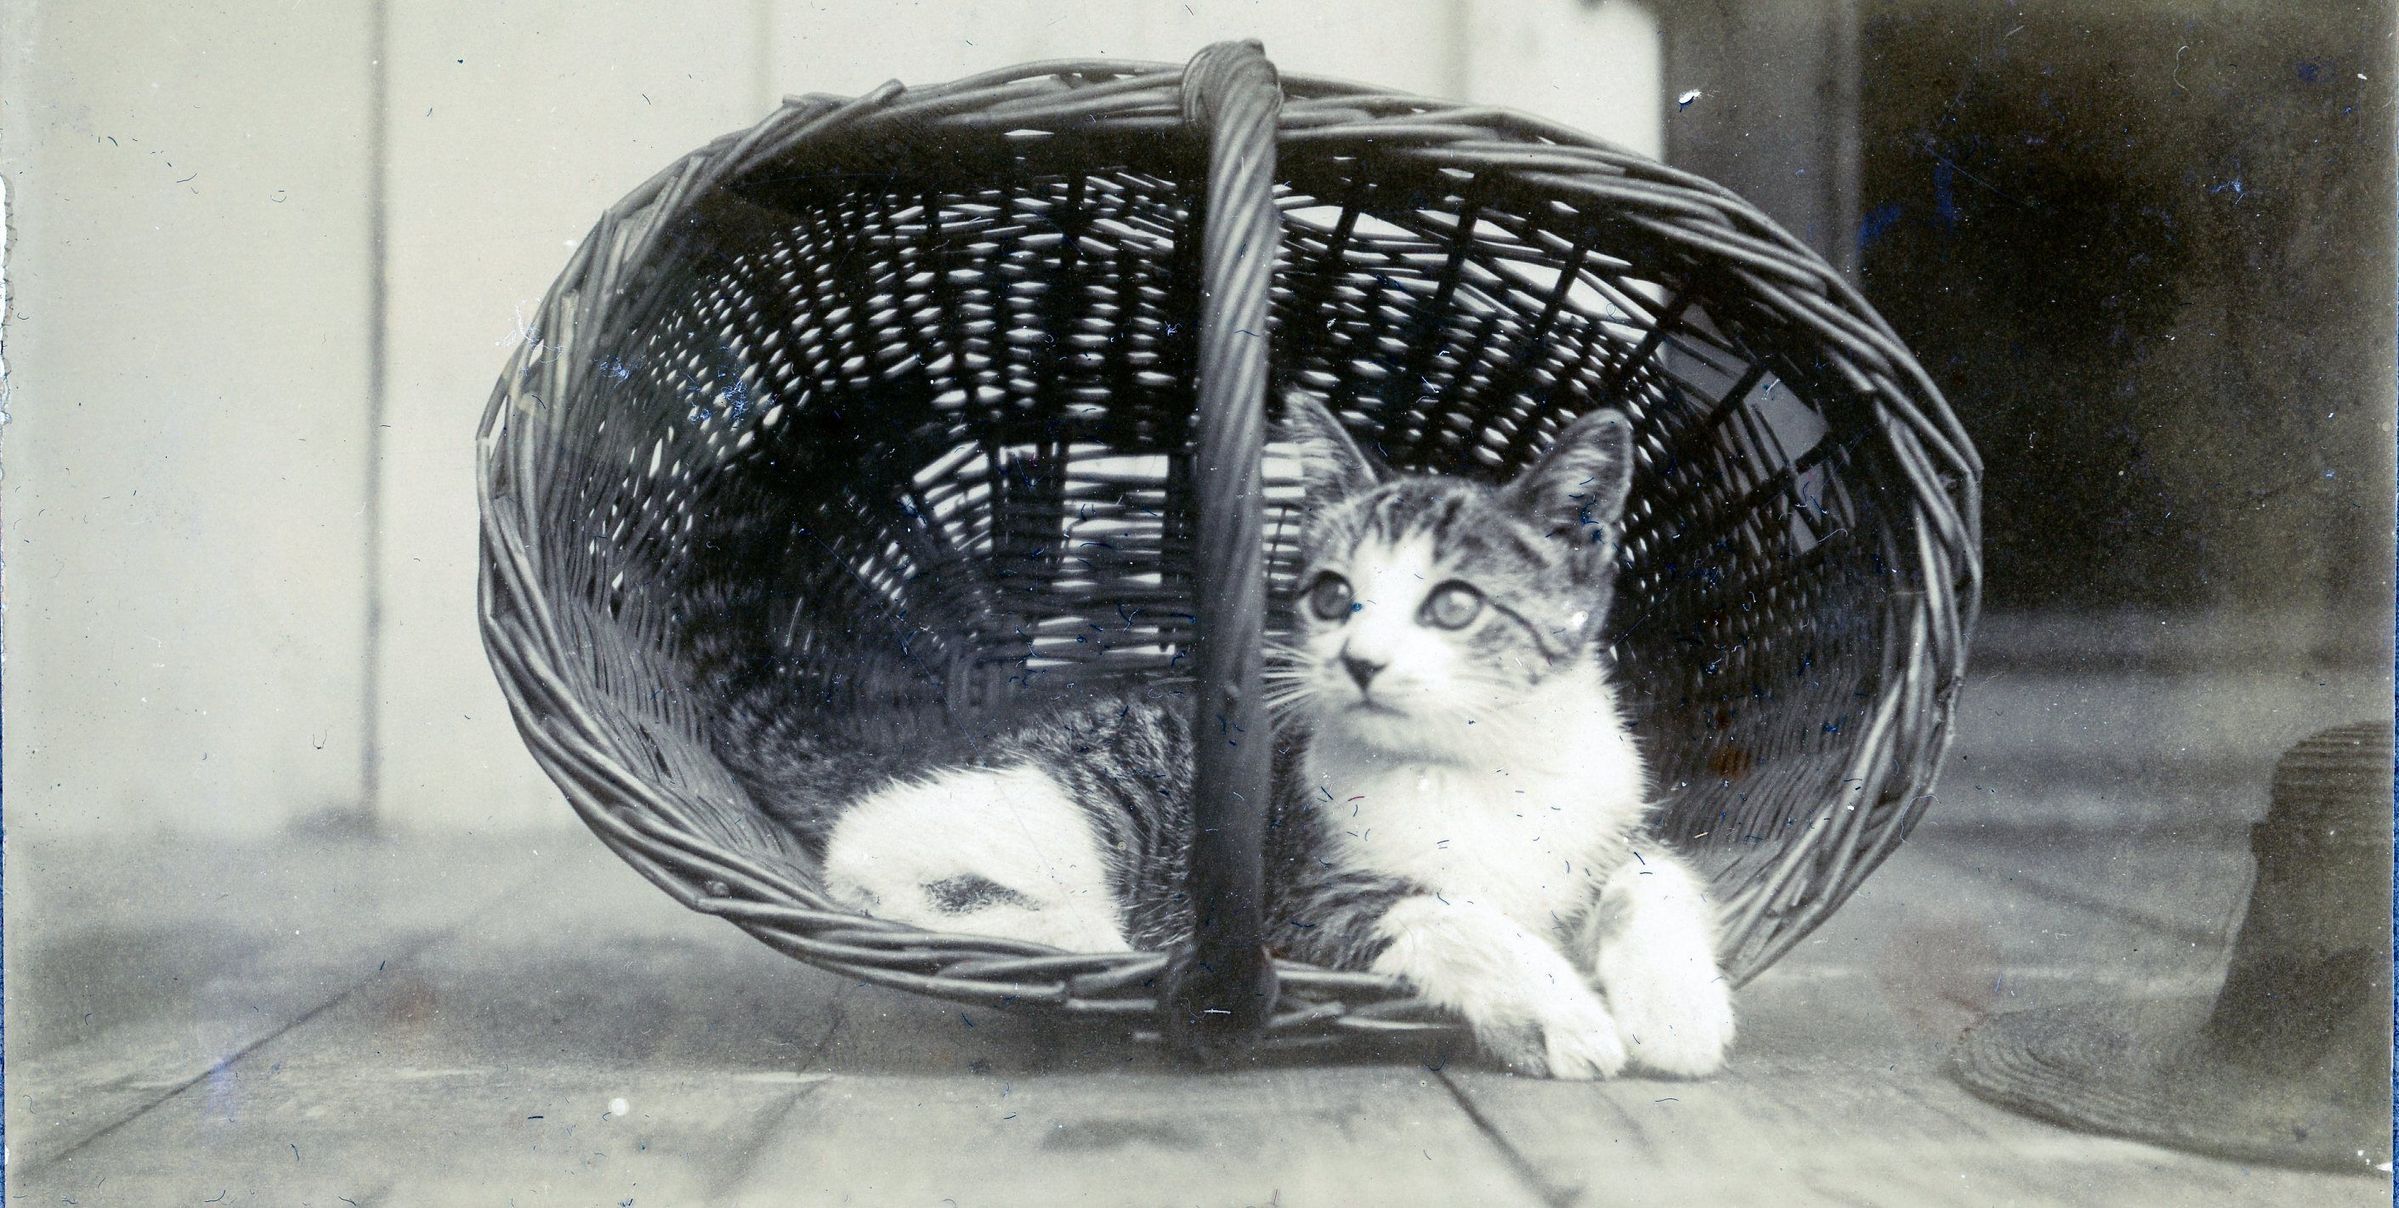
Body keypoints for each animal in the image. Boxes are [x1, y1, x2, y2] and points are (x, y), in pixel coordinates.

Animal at [779, 393, 1735, 1079]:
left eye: (1454, 604)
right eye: (1331, 595)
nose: (1358, 661)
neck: (1472, 765)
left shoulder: (1611, 818)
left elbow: (1654, 875)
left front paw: (1678, 1013)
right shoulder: (1298, 897)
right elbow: (1441, 910)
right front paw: (1562, 1014)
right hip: (1066, 805)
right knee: (871, 851)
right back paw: (1081, 933)